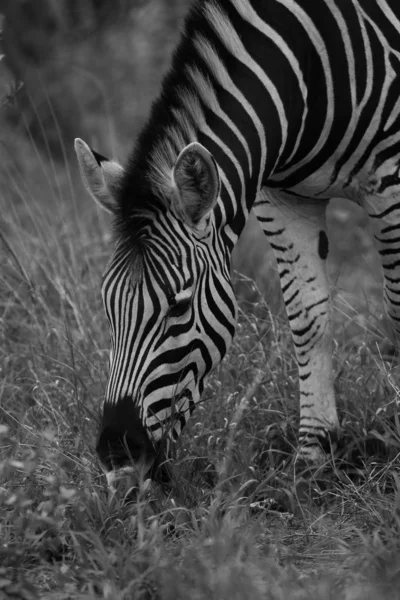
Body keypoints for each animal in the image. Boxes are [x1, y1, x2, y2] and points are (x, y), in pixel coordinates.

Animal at [75, 0, 400, 486]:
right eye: (106, 304)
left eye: (178, 307)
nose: (118, 457)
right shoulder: (283, 198)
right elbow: (307, 319)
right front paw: (313, 456)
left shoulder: (392, 182)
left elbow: (397, 309)